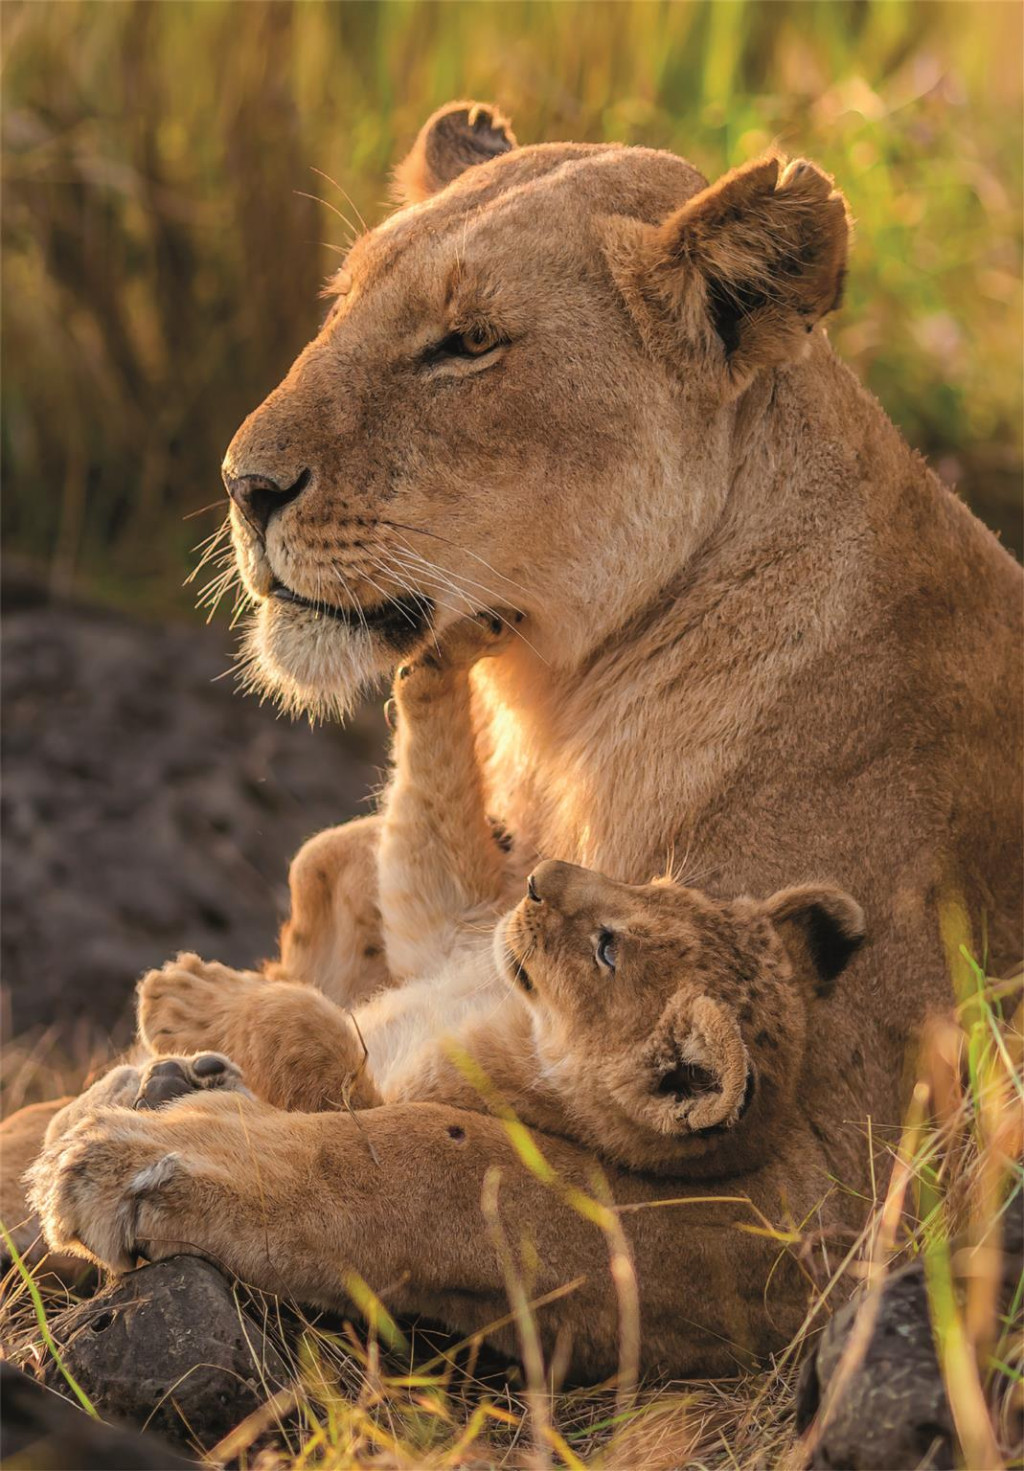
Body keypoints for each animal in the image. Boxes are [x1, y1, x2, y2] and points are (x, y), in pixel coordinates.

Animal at [12, 101, 1022, 1381]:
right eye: (341, 300)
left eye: (467, 343)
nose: (243, 484)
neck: (570, 709)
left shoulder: (828, 1190)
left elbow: (445, 1168)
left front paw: (156, 1150)